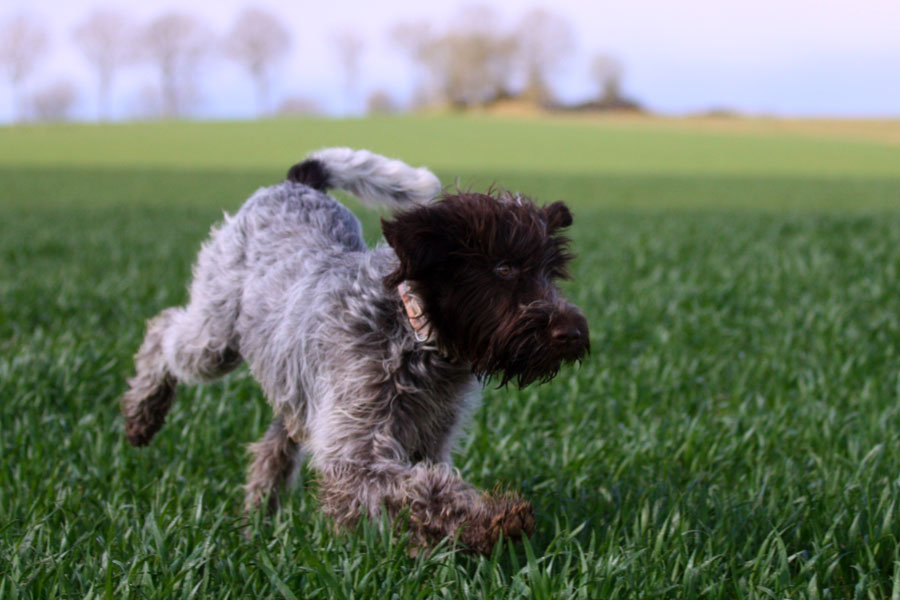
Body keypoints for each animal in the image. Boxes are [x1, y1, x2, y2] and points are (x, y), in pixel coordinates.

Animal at [123, 149, 592, 552]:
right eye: (504, 268)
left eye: (550, 273)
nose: (572, 333)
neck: (413, 335)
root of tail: (296, 183)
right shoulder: (356, 450)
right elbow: (418, 489)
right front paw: (491, 521)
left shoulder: (425, 439)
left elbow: (423, 489)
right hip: (216, 334)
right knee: (163, 332)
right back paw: (142, 415)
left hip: (294, 381)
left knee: (275, 444)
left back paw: (257, 520)